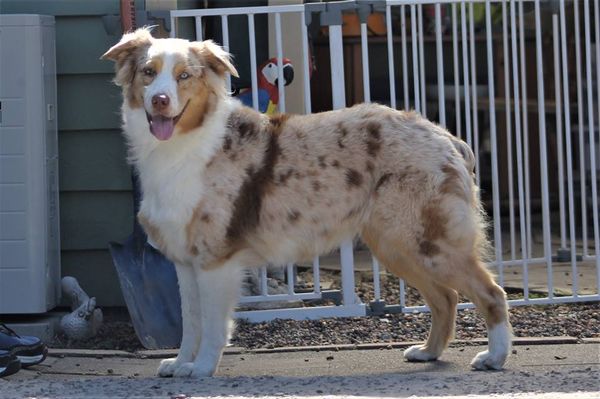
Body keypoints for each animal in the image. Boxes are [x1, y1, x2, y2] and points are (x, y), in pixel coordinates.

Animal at [102, 28, 510, 378]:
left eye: (184, 76)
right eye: (148, 73)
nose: (160, 101)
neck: (183, 145)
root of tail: (446, 137)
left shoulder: (216, 259)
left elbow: (214, 324)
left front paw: (201, 368)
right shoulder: (186, 263)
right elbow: (191, 322)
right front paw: (181, 363)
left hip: (426, 242)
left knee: (491, 293)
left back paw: (494, 357)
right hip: (397, 245)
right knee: (446, 298)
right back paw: (428, 352)